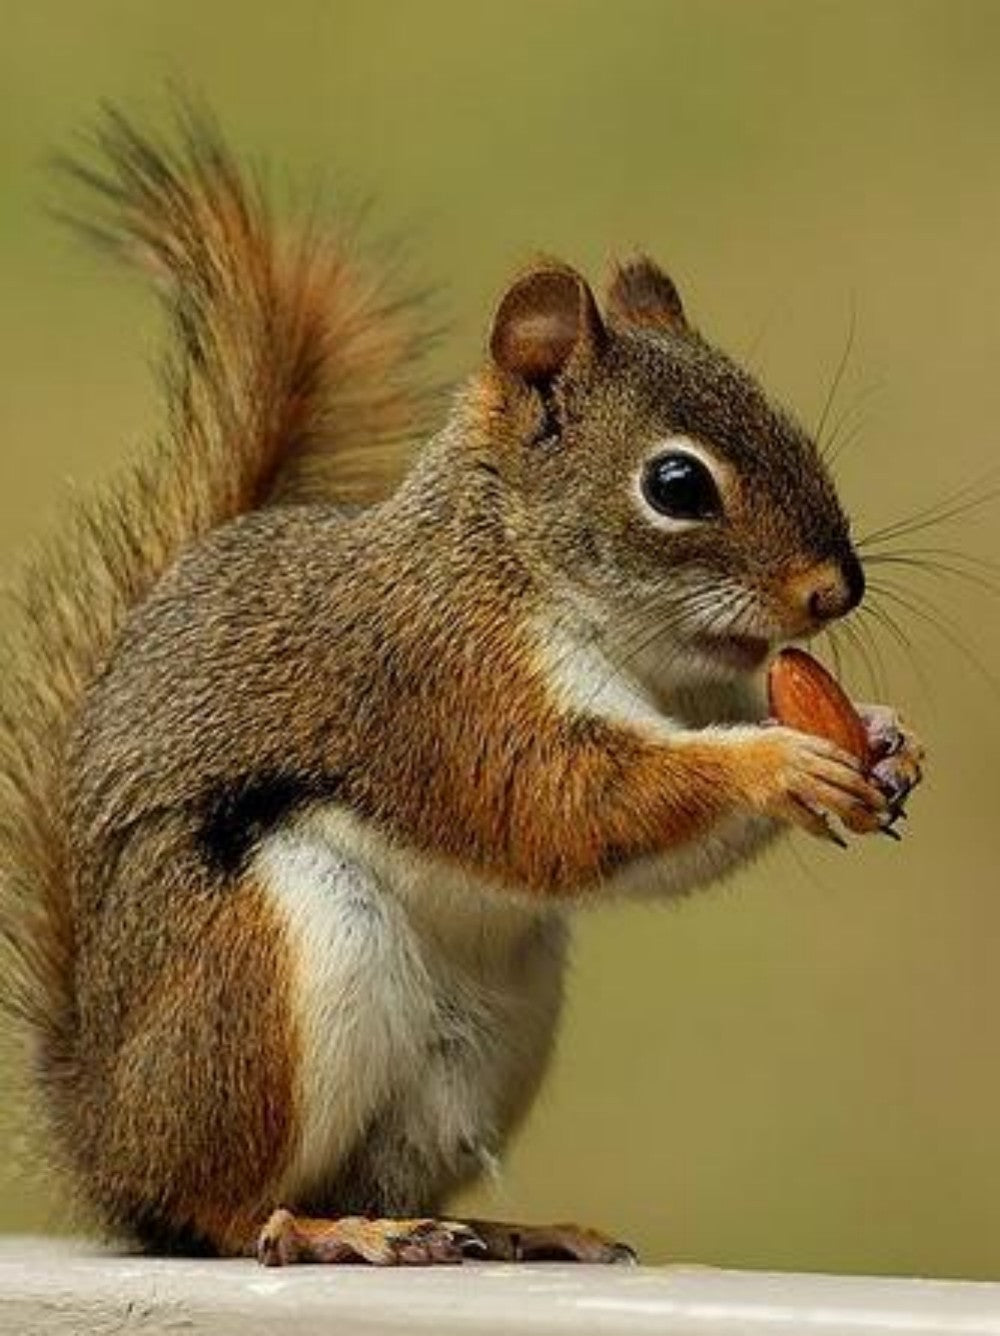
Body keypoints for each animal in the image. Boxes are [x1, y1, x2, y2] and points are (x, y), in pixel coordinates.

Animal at [0, 107, 923, 1267]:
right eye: (677, 484)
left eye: (786, 419)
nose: (834, 590)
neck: (515, 561)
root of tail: (108, 1145)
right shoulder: (443, 685)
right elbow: (559, 805)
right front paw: (779, 763)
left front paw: (882, 738)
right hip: (262, 978)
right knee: (223, 1210)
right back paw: (329, 1230)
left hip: (488, 1040)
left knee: (393, 1171)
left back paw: (510, 1228)